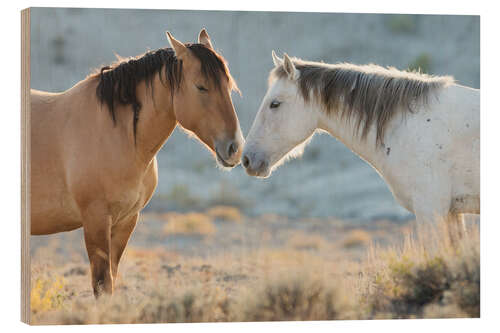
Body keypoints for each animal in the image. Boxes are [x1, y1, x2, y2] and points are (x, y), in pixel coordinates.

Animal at [29, 29, 244, 296]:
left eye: (228, 86)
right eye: (201, 87)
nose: (235, 148)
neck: (114, 132)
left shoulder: (126, 221)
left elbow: (110, 282)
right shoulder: (96, 220)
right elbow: (102, 285)